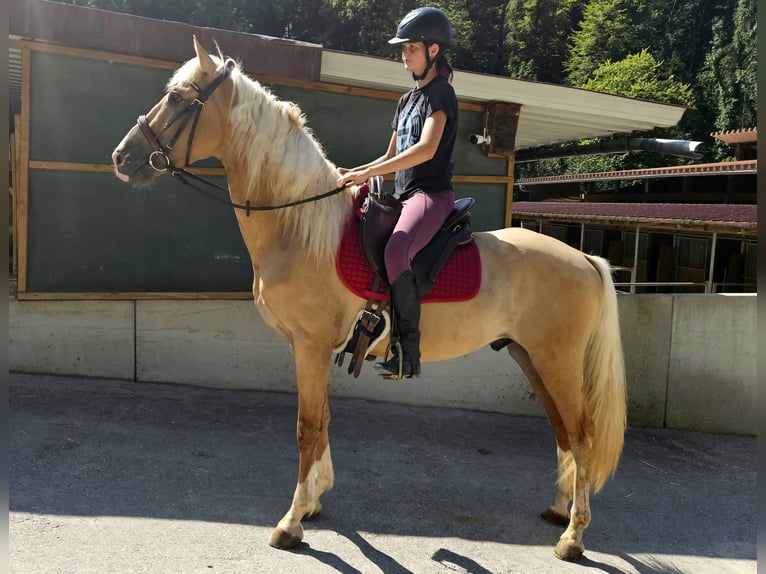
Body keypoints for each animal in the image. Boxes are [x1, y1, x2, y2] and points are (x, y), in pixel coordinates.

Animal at [115, 38, 632, 564]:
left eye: (177, 98)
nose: (121, 157)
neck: (300, 229)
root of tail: (584, 258)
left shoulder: (310, 346)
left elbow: (307, 426)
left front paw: (291, 522)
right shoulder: (310, 348)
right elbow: (322, 420)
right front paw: (315, 501)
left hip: (556, 360)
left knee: (582, 434)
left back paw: (573, 537)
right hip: (531, 357)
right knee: (563, 430)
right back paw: (560, 510)